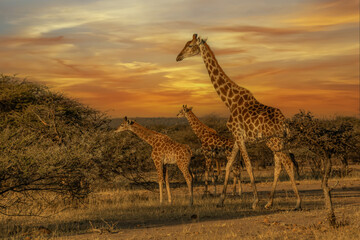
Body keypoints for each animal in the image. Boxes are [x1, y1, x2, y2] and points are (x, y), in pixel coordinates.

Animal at [175, 33, 300, 210]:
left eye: (191, 46)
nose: (178, 57)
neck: (229, 101)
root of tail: (284, 122)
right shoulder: (236, 137)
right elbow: (228, 165)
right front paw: (221, 200)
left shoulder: (240, 136)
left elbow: (248, 166)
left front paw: (254, 201)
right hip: (275, 141)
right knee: (279, 165)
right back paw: (269, 202)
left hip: (275, 141)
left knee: (287, 163)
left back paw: (297, 202)